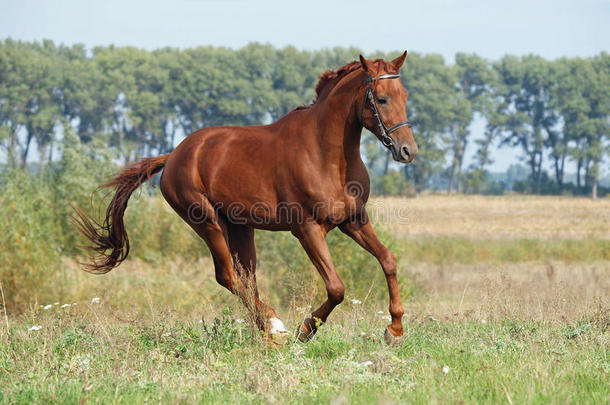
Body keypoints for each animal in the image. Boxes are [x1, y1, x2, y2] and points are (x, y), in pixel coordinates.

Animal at [70, 52, 414, 344]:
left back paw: (266, 330)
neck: (325, 155)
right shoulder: (307, 229)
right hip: (208, 223)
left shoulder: (354, 221)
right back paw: (276, 327)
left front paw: (395, 330)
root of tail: (174, 155)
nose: (407, 150)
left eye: (405, 96)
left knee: (247, 280)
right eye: (381, 99)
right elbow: (336, 287)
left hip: (240, 228)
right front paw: (306, 329)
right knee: (228, 277)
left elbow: (388, 260)